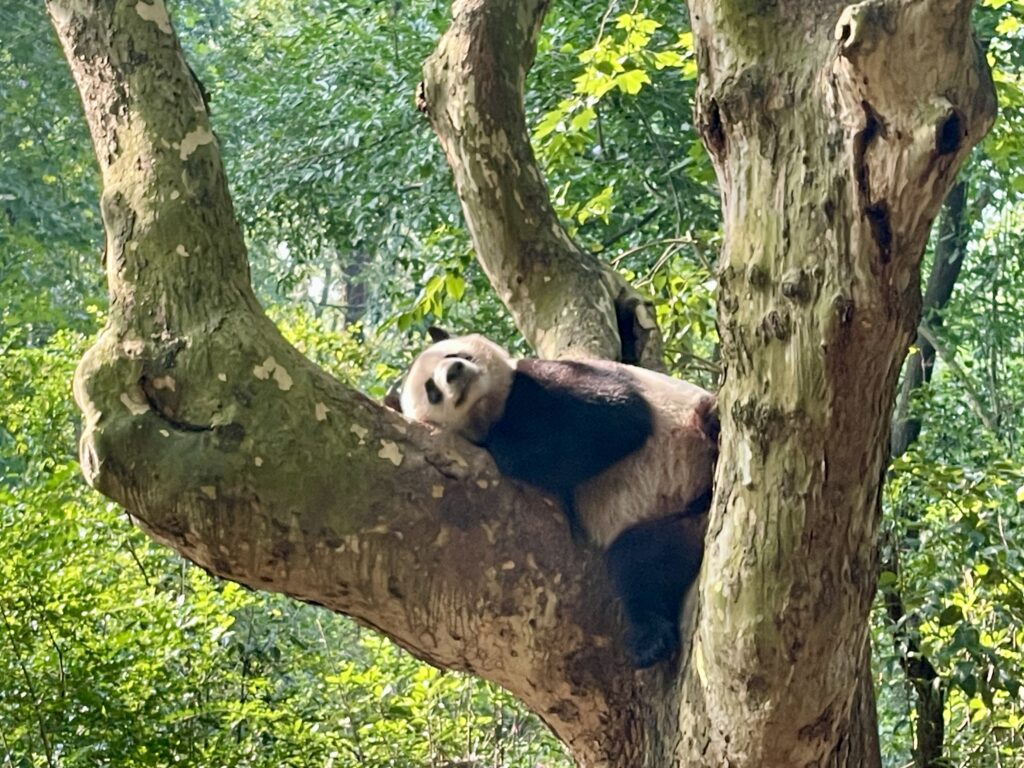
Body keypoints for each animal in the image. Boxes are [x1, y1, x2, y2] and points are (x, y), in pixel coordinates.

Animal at [398, 328, 718, 668]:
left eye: (455, 354)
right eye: (431, 390)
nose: (455, 371)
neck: (491, 408)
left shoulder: (544, 379)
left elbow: (619, 417)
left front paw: (504, 445)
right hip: (664, 524)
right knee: (641, 560)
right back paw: (651, 642)